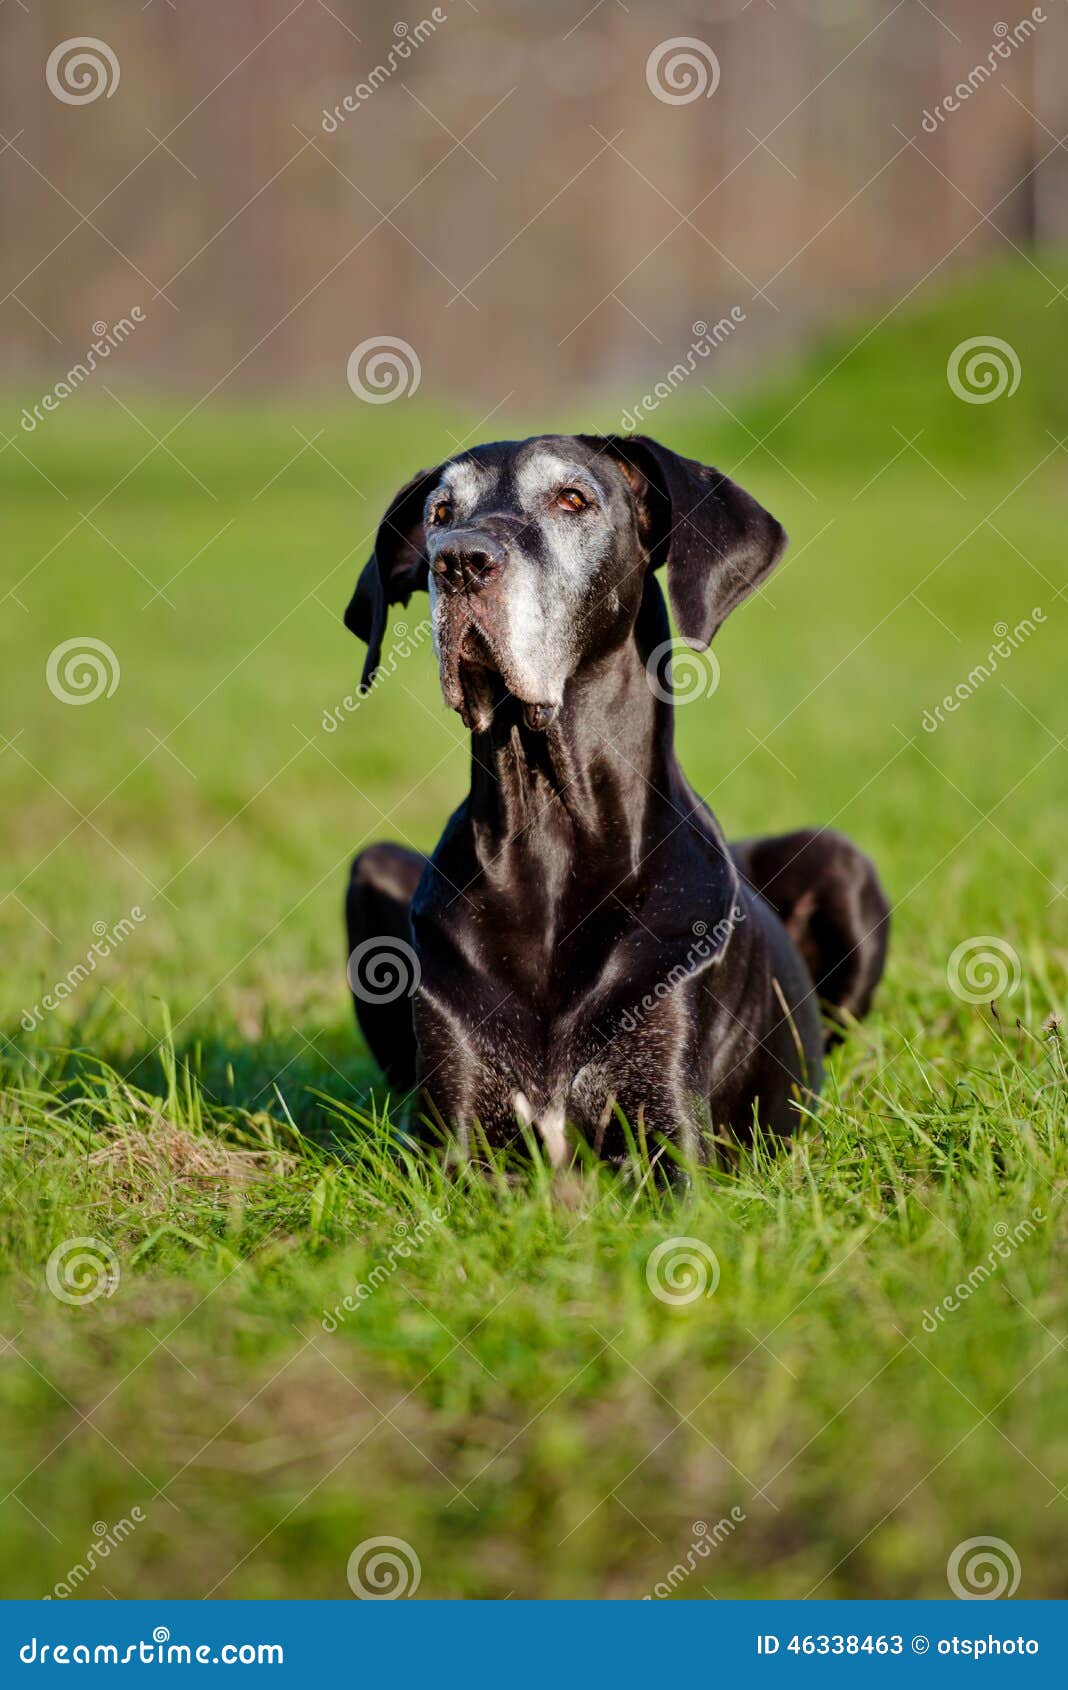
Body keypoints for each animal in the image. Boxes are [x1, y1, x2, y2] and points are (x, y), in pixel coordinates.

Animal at [339, 436, 885, 1169]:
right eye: (440, 513)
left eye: (573, 499)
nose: (458, 561)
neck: (550, 831)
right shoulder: (452, 1145)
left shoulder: (671, 1134)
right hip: (370, 869)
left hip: (839, 860)